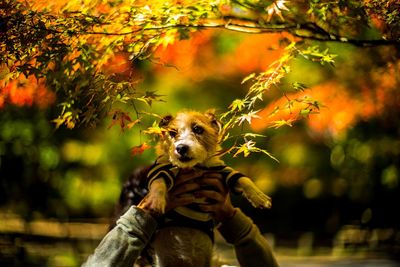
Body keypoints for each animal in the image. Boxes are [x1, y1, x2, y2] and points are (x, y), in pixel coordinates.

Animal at [112, 110, 272, 266]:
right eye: (172, 133)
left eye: (198, 129)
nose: (181, 148)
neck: (194, 167)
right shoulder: (161, 169)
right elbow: (158, 183)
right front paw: (156, 200)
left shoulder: (221, 171)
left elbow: (241, 178)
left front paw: (259, 197)